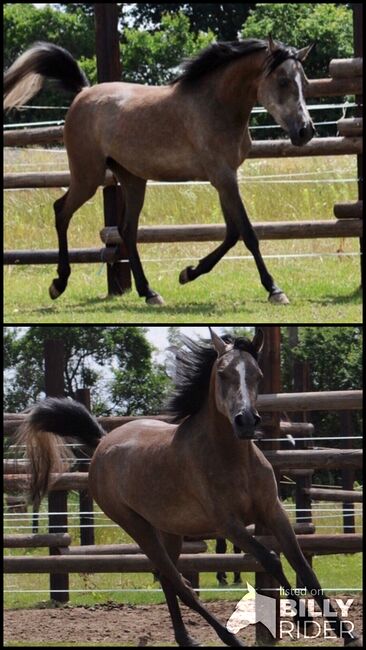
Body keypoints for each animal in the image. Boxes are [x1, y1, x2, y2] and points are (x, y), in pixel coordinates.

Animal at [3, 36, 314, 306]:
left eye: (305, 82)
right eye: (283, 80)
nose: (305, 131)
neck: (216, 106)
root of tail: (83, 93)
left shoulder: (225, 178)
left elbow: (231, 233)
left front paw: (188, 273)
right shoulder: (223, 177)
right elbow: (247, 233)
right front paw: (274, 289)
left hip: (132, 180)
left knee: (127, 231)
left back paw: (149, 292)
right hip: (87, 176)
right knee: (61, 212)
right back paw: (58, 284)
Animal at [15, 326, 360, 644]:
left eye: (258, 375)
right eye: (222, 374)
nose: (246, 421)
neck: (232, 459)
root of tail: (102, 442)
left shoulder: (273, 512)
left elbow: (303, 565)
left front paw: (346, 633)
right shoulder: (229, 525)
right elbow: (271, 560)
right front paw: (304, 621)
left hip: (169, 529)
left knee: (168, 579)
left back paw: (186, 637)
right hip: (138, 527)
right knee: (178, 582)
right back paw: (227, 639)